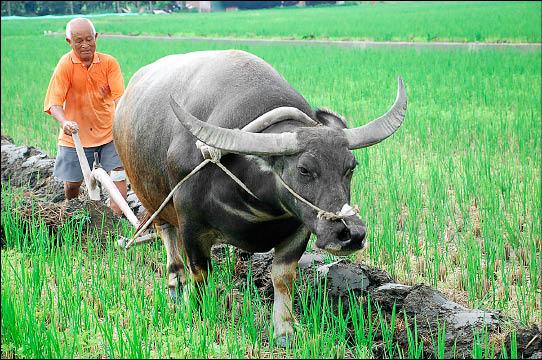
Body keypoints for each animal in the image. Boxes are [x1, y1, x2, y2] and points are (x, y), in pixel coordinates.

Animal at [113, 49, 408, 344]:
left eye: (351, 166)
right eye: (304, 169)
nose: (352, 234)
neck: (259, 204)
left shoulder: (300, 228)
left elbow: (283, 277)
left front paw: (285, 330)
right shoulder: (191, 226)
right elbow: (200, 273)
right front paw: (197, 312)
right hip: (152, 199)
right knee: (168, 240)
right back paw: (176, 286)